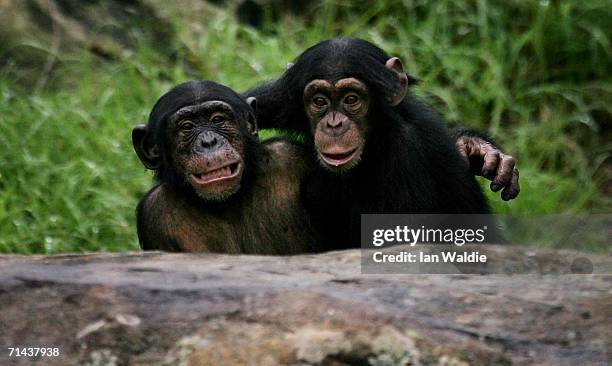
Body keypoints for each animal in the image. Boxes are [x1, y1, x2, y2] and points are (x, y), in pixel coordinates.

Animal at [132, 80, 318, 253]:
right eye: (187, 126)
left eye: (217, 119)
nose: (209, 141)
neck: (228, 201)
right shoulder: (153, 212)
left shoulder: (289, 156)